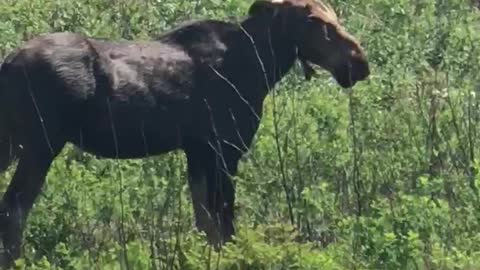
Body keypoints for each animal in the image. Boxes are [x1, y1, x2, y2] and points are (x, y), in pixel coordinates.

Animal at [0, 0, 370, 266]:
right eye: (315, 21)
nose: (359, 63)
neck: (262, 66)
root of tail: (7, 63)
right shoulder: (225, 147)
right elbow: (224, 223)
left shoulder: (198, 150)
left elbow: (206, 222)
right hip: (39, 145)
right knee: (14, 209)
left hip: (14, 144)